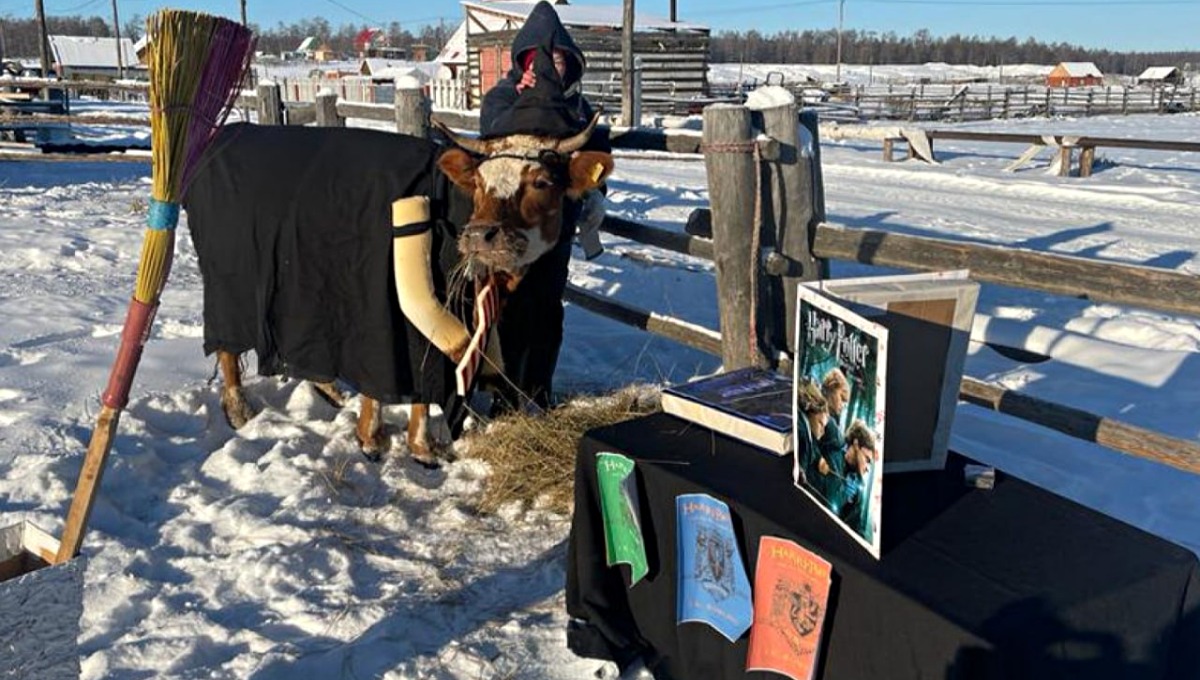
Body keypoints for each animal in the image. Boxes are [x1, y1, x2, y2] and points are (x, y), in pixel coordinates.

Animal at [182, 116, 614, 467]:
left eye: (541, 182)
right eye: (478, 183)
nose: (480, 236)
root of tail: (228, 133)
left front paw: (417, 445)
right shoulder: (381, 309)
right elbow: (395, 378)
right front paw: (378, 439)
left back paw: (328, 389)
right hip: (227, 283)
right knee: (225, 345)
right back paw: (238, 409)